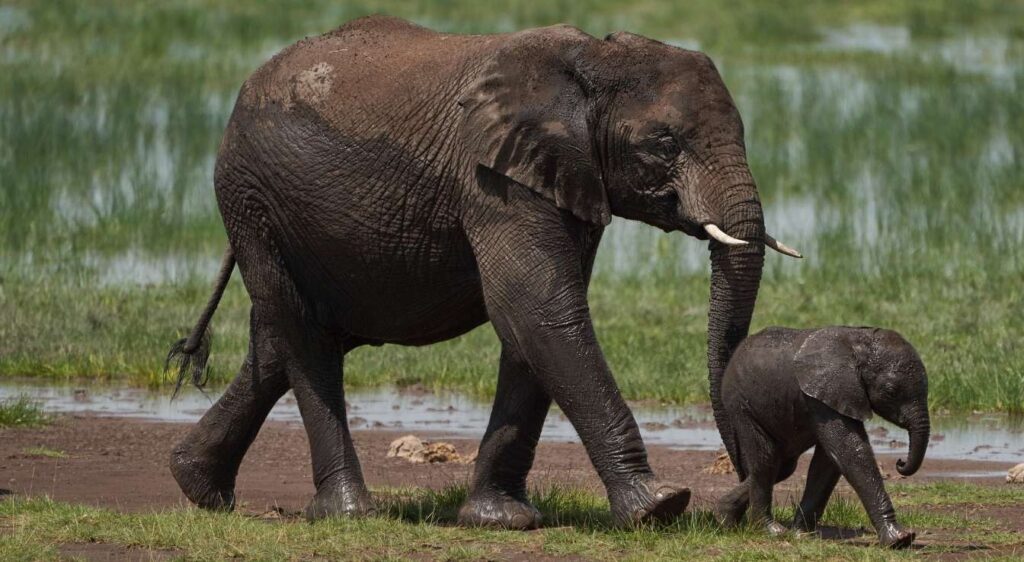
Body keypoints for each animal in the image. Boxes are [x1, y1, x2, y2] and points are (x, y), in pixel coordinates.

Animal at [165, 15, 800, 529]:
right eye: (664, 143)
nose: (738, 501)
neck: (591, 61)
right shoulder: (494, 178)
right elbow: (537, 307)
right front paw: (659, 507)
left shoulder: (559, 176)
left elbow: (532, 323)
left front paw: (501, 520)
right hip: (249, 195)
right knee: (303, 335)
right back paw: (348, 514)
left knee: (286, 338)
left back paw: (197, 486)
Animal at [715, 326, 930, 548]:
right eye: (890, 392)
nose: (900, 462)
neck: (858, 343)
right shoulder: (827, 393)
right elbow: (849, 452)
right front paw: (899, 539)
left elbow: (829, 461)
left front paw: (802, 535)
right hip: (741, 405)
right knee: (766, 461)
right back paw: (770, 531)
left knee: (782, 467)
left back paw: (725, 518)